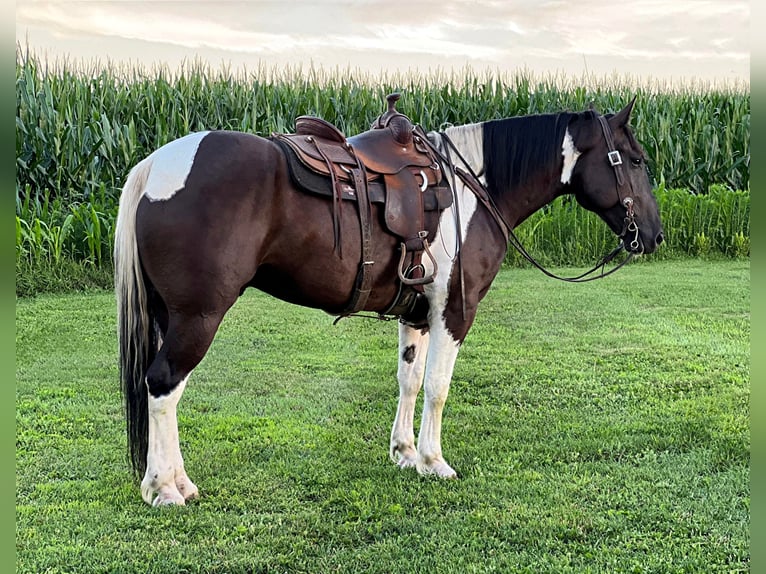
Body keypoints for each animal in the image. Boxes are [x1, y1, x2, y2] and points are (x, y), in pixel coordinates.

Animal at [114, 97, 664, 506]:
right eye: (635, 160)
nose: (654, 235)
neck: (473, 188)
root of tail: (154, 166)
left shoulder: (417, 314)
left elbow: (410, 380)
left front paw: (404, 452)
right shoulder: (454, 311)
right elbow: (438, 387)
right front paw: (434, 461)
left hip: (168, 316)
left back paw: (176, 482)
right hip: (197, 317)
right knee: (164, 385)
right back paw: (164, 488)